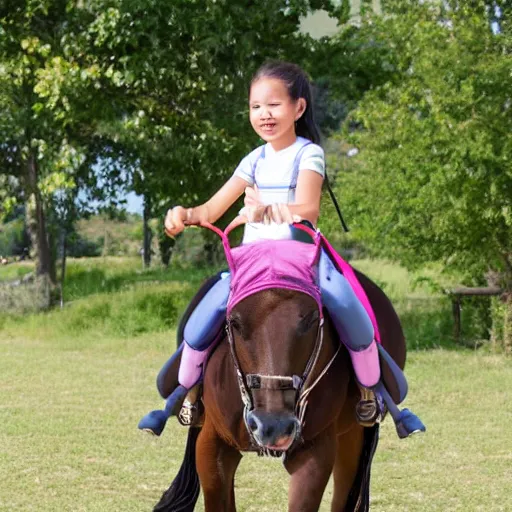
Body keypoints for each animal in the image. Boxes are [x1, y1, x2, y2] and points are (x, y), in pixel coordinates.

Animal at [150, 225, 406, 512]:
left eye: (312, 320)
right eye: (234, 322)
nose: (273, 426)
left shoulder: (316, 453)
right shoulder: (211, 447)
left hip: (353, 436)